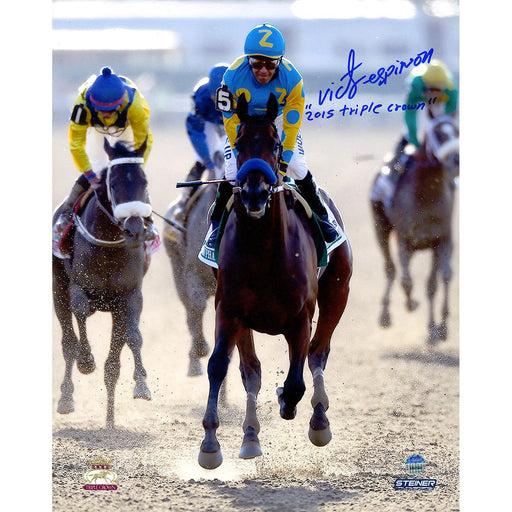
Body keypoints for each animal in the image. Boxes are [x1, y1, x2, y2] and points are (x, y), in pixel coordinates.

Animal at [52, 138, 156, 426]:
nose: (135, 228)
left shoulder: (130, 295)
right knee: (68, 341)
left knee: (112, 365)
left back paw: (110, 422)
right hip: (57, 289)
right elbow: (80, 311)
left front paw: (142, 385)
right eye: (113, 183)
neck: (109, 246)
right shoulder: (77, 287)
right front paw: (86, 361)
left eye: (144, 181)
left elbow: (133, 336)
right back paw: (66, 398)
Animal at [197, 94, 352, 470]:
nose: (255, 193)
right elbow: (220, 366)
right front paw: (210, 444)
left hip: (337, 292)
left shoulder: (300, 318)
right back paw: (251, 437)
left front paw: (289, 402)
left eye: (276, 144)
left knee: (318, 354)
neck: (263, 251)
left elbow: (296, 380)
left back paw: (319, 420)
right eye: (238, 145)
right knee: (251, 371)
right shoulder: (229, 311)